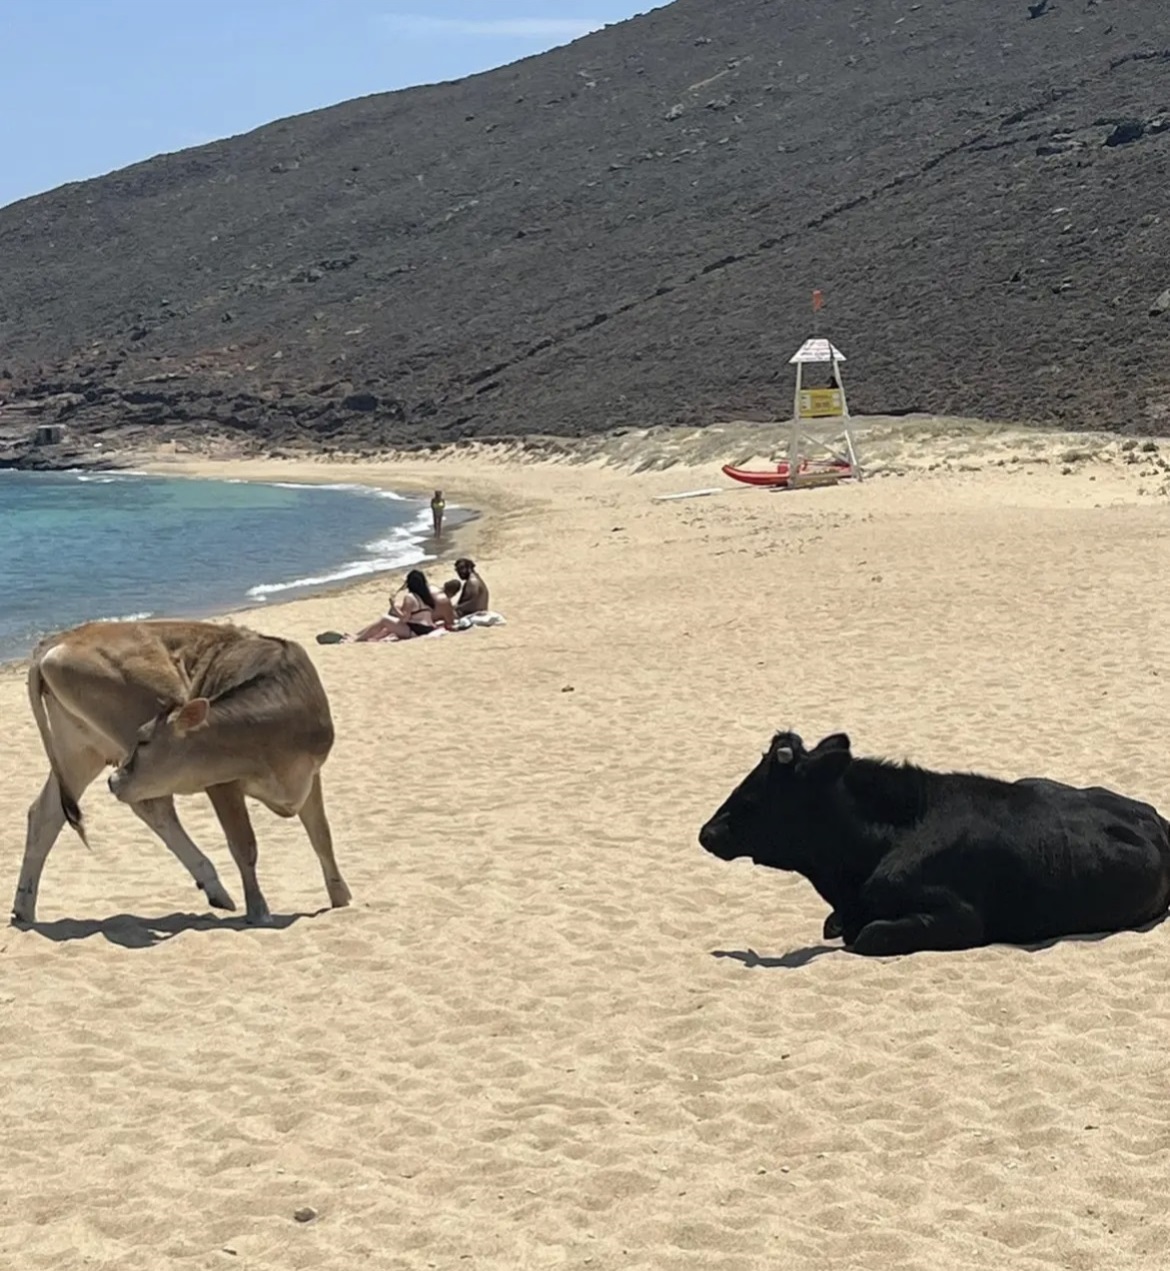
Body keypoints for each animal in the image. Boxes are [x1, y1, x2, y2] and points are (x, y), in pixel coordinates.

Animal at [12, 615, 350, 925]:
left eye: (145, 739)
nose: (113, 780)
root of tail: (57, 641)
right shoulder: (219, 781)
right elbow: (244, 845)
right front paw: (258, 910)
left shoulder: (310, 774)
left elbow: (322, 835)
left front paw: (341, 897)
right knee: (152, 807)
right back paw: (216, 887)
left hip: (81, 750)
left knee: (45, 813)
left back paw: (23, 908)